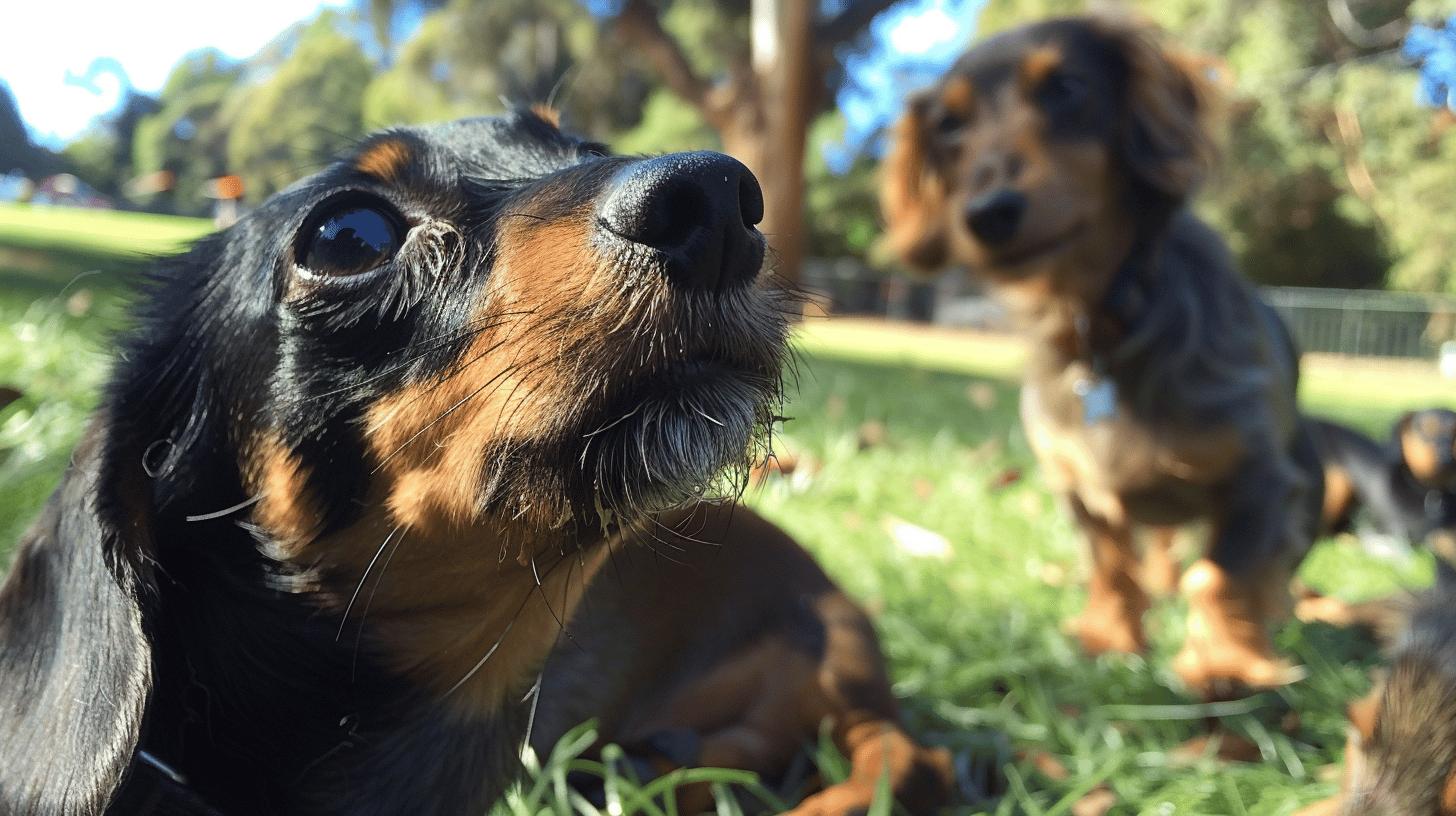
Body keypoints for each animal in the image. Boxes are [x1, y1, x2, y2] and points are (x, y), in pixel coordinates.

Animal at [879, 14, 1327, 702]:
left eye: (1065, 87)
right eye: (949, 125)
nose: (987, 214)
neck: (1103, 324)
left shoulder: (1259, 480)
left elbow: (1223, 573)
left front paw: (1226, 662)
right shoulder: (1079, 489)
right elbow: (1113, 564)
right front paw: (1112, 638)